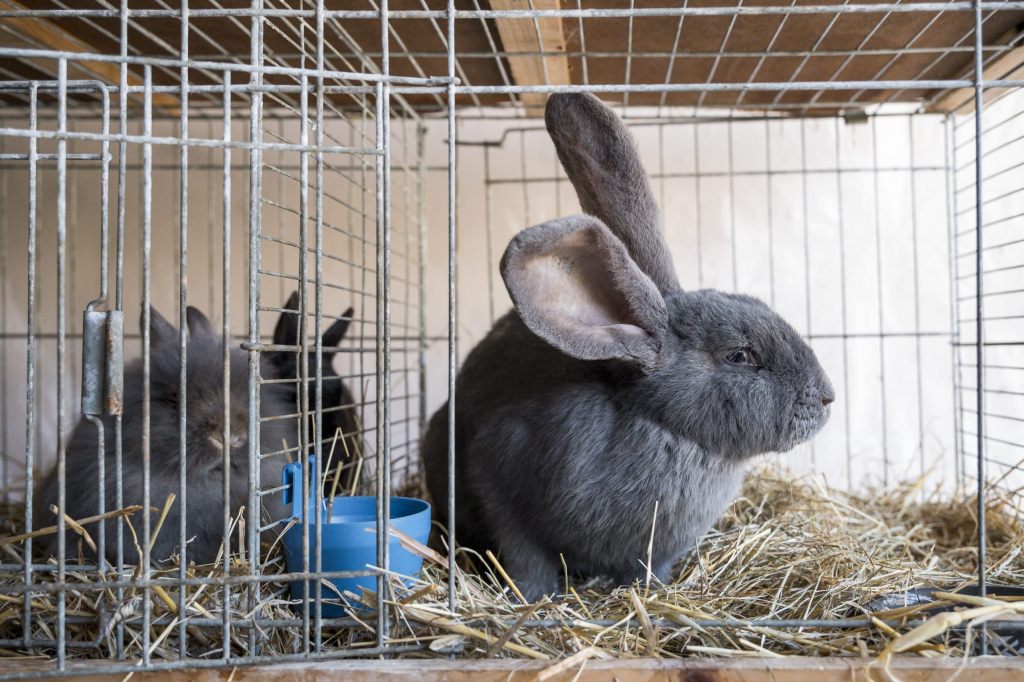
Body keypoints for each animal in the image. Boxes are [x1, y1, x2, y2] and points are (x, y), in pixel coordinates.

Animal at [419, 93, 835, 598]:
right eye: (741, 356)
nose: (827, 397)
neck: (668, 429)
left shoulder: (658, 550)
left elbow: (647, 570)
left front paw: (650, 591)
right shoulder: (500, 481)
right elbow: (526, 559)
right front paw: (536, 597)